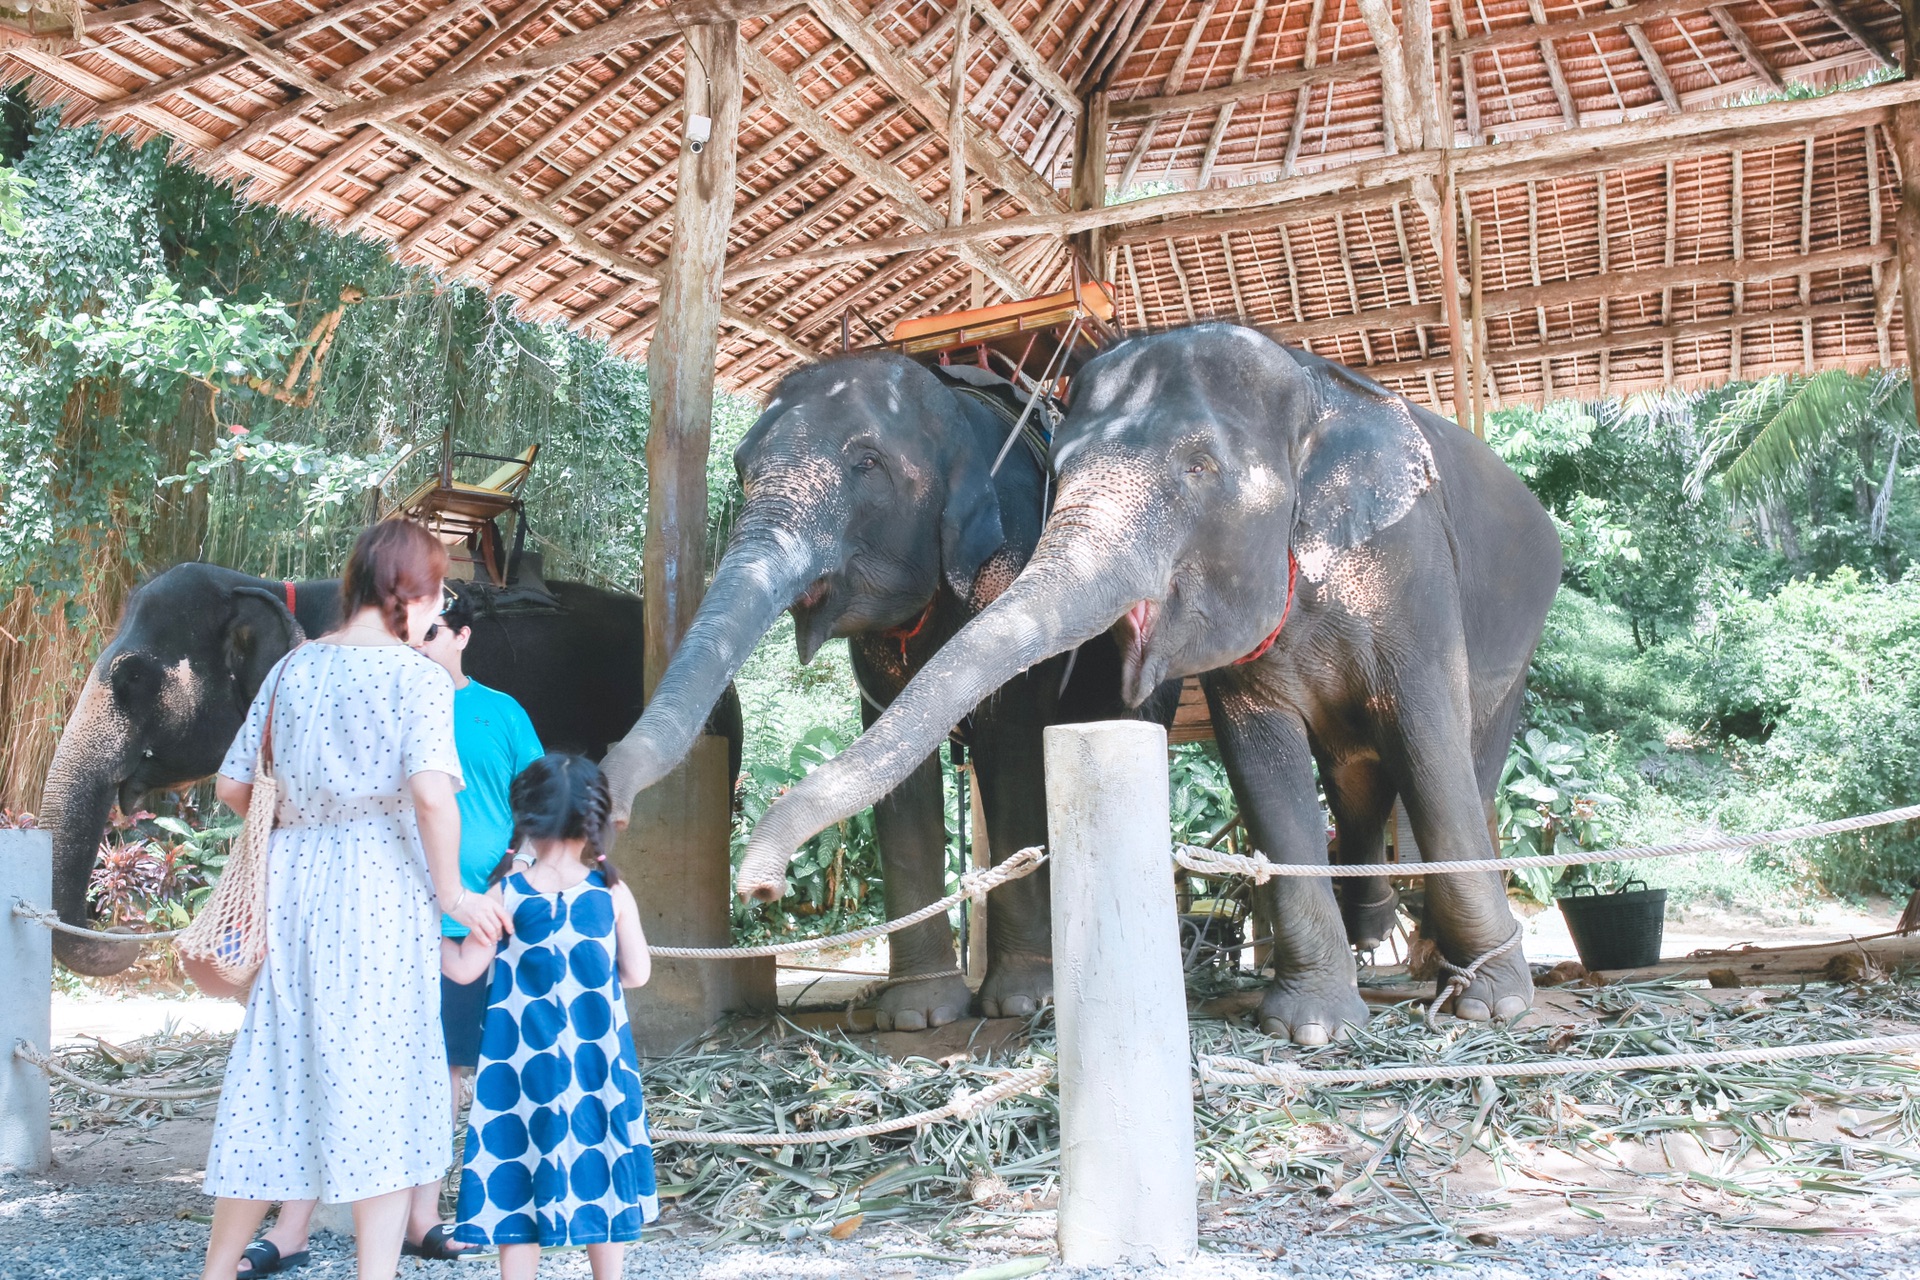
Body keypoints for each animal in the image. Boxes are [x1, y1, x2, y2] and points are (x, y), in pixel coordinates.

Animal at [599, 351, 1175, 1028]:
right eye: (742, 469)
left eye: (867, 464)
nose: (761, 889)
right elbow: (890, 754)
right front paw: (915, 1014)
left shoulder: (1014, 560)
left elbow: (1011, 746)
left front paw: (1022, 1000)